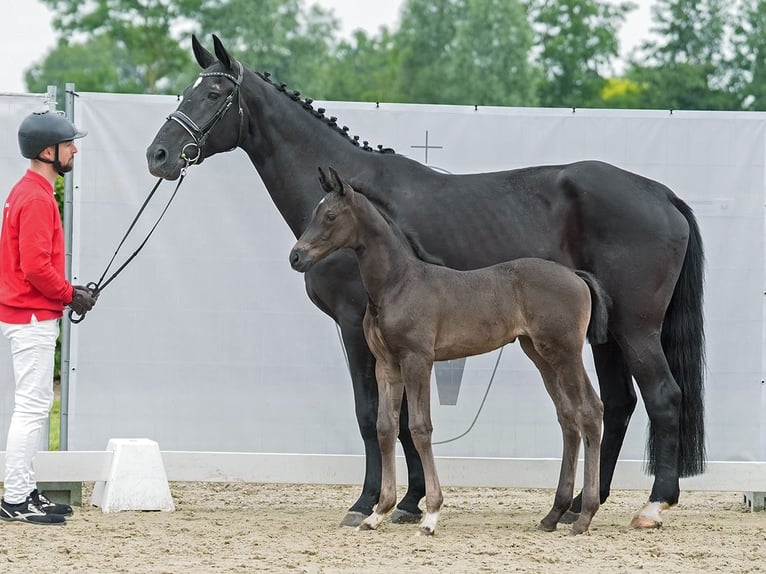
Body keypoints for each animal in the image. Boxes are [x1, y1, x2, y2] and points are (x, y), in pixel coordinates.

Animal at [292, 169, 612, 536]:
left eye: (330, 215)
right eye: (314, 212)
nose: (296, 257)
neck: (398, 283)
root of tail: (576, 275)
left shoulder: (418, 359)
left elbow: (419, 428)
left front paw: (430, 514)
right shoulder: (387, 364)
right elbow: (386, 427)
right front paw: (378, 512)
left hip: (566, 352)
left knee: (590, 410)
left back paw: (584, 516)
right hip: (541, 354)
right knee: (568, 417)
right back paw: (553, 514)